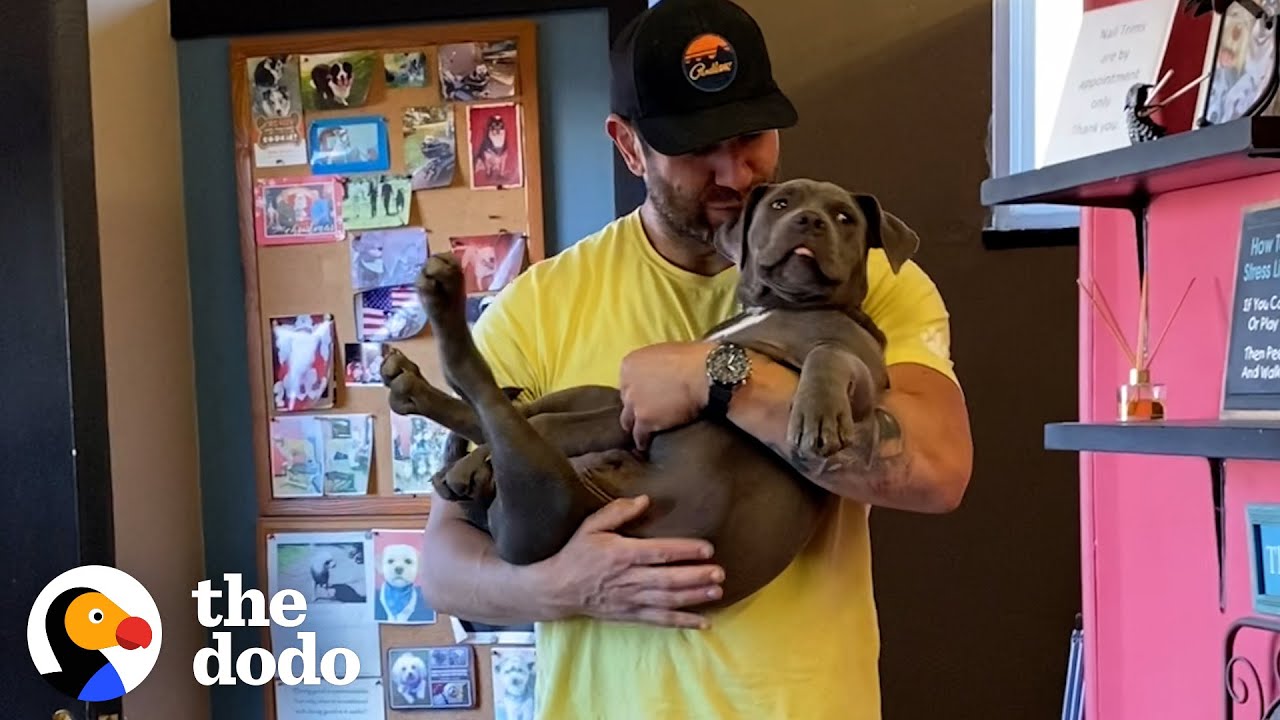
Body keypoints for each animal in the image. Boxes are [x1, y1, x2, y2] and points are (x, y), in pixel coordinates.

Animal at [378, 176, 921, 607]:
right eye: (781, 204)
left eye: (845, 217)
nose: (810, 221)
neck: (784, 307)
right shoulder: (632, 412)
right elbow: (548, 421)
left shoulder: (866, 382)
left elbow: (827, 354)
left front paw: (817, 414)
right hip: (599, 402)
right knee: (522, 410)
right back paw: (425, 401)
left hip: (548, 491)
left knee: (489, 392)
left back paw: (443, 314)